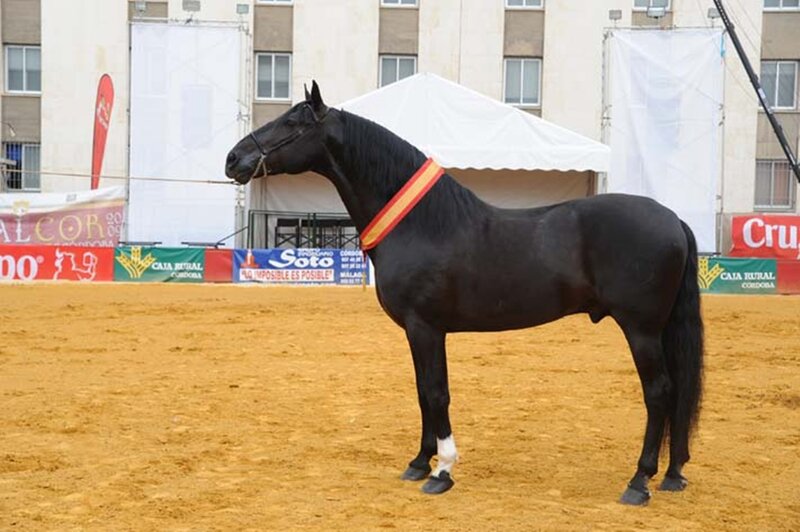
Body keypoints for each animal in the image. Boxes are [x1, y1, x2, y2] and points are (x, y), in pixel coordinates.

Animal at [224, 81, 704, 505]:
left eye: (293, 124)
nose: (233, 159)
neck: (423, 224)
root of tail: (672, 218)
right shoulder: (417, 332)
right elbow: (422, 391)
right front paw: (419, 462)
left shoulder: (426, 327)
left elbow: (437, 392)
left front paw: (442, 471)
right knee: (678, 391)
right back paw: (673, 474)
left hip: (641, 329)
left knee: (660, 392)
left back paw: (639, 482)